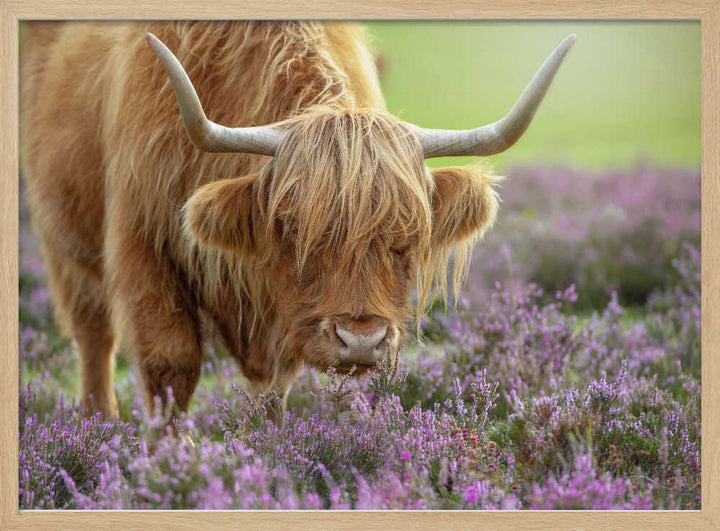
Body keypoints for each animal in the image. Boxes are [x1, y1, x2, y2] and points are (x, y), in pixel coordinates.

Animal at [20, 21, 574, 422]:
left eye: (406, 239)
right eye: (292, 230)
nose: (361, 341)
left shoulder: (278, 312)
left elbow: (273, 388)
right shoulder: (143, 245)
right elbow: (170, 367)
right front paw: (171, 466)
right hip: (63, 240)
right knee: (94, 337)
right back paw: (100, 425)